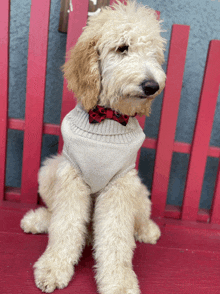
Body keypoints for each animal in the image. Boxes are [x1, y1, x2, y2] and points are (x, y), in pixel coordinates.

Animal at [20, 1, 166, 292]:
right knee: (56, 214)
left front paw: (119, 282)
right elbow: (64, 225)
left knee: (136, 219)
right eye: (122, 48)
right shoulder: (71, 176)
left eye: (154, 54)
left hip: (137, 188)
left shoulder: (119, 185)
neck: (107, 118)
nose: (152, 86)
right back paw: (38, 220)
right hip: (49, 169)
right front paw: (53, 267)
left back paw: (146, 230)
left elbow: (116, 238)